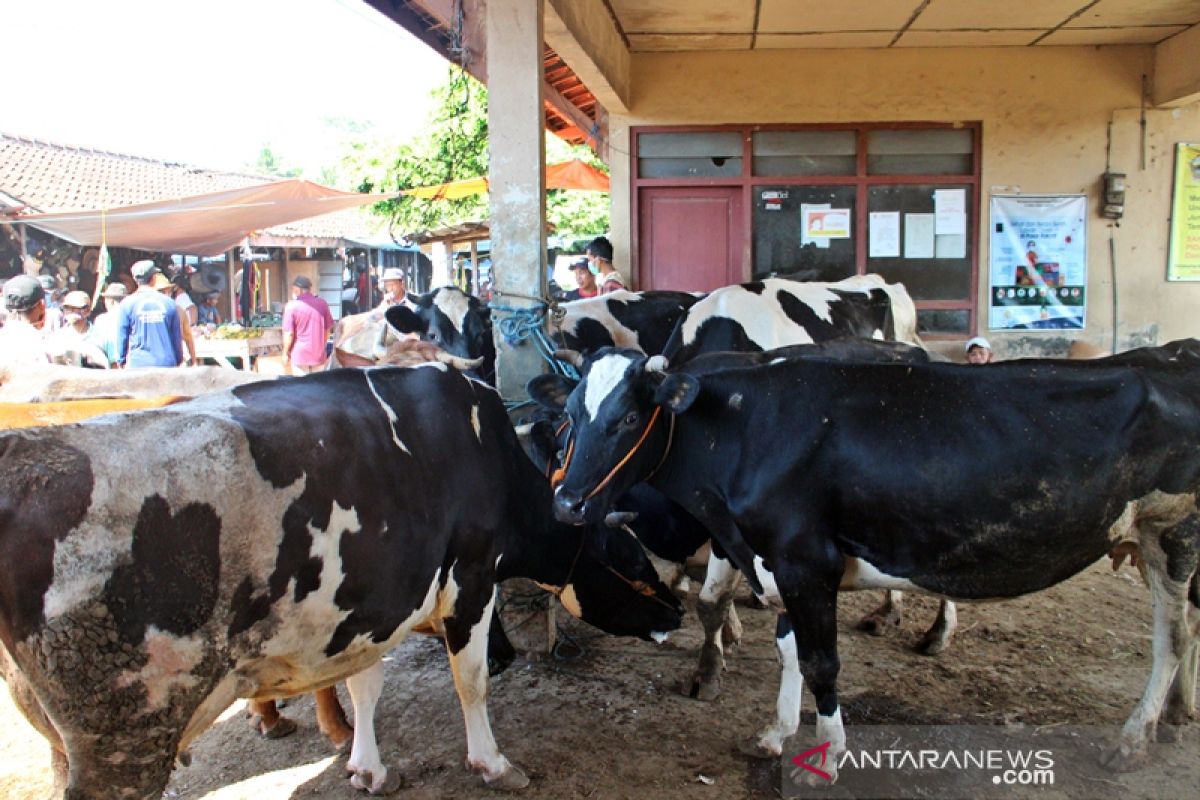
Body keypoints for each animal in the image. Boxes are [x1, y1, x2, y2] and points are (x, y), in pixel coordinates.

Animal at [0, 367, 681, 796]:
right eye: (631, 558)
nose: (675, 613)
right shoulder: (469, 581)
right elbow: (473, 682)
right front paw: (491, 763)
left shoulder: (369, 606)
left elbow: (365, 686)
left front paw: (367, 769)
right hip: (124, 735)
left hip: (65, 736)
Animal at [542, 343, 1200, 782]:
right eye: (569, 416)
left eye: (628, 417)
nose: (567, 502)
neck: (744, 428)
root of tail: (1171, 353)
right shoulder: (773, 561)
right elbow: (789, 652)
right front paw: (777, 734)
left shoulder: (805, 561)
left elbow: (821, 663)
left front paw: (827, 757)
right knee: (1190, 629)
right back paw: (1175, 717)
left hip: (1174, 536)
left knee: (1173, 638)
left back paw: (1133, 740)